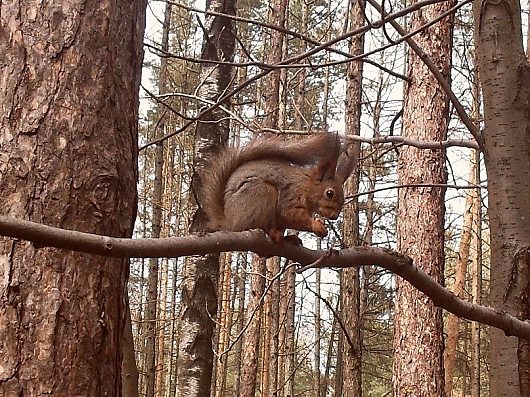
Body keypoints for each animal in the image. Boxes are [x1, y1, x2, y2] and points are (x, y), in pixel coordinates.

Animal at [200, 133, 356, 241]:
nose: (334, 216)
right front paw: (316, 225)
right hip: (262, 193)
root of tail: (229, 223)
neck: (305, 186)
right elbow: (289, 214)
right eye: (329, 193)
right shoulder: (291, 194)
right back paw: (273, 233)